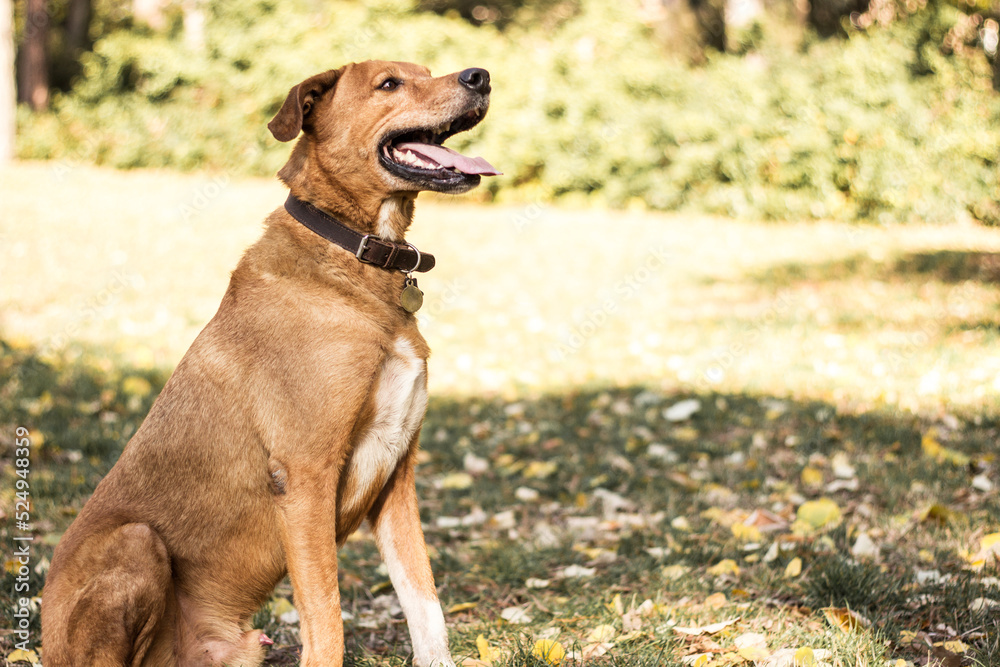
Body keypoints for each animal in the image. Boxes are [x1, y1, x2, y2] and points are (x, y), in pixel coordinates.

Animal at [40, 61, 500, 667]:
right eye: (389, 84)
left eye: (427, 70)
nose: (480, 75)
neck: (356, 257)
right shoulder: (305, 476)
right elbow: (326, 618)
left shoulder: (397, 477)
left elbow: (425, 604)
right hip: (135, 540)